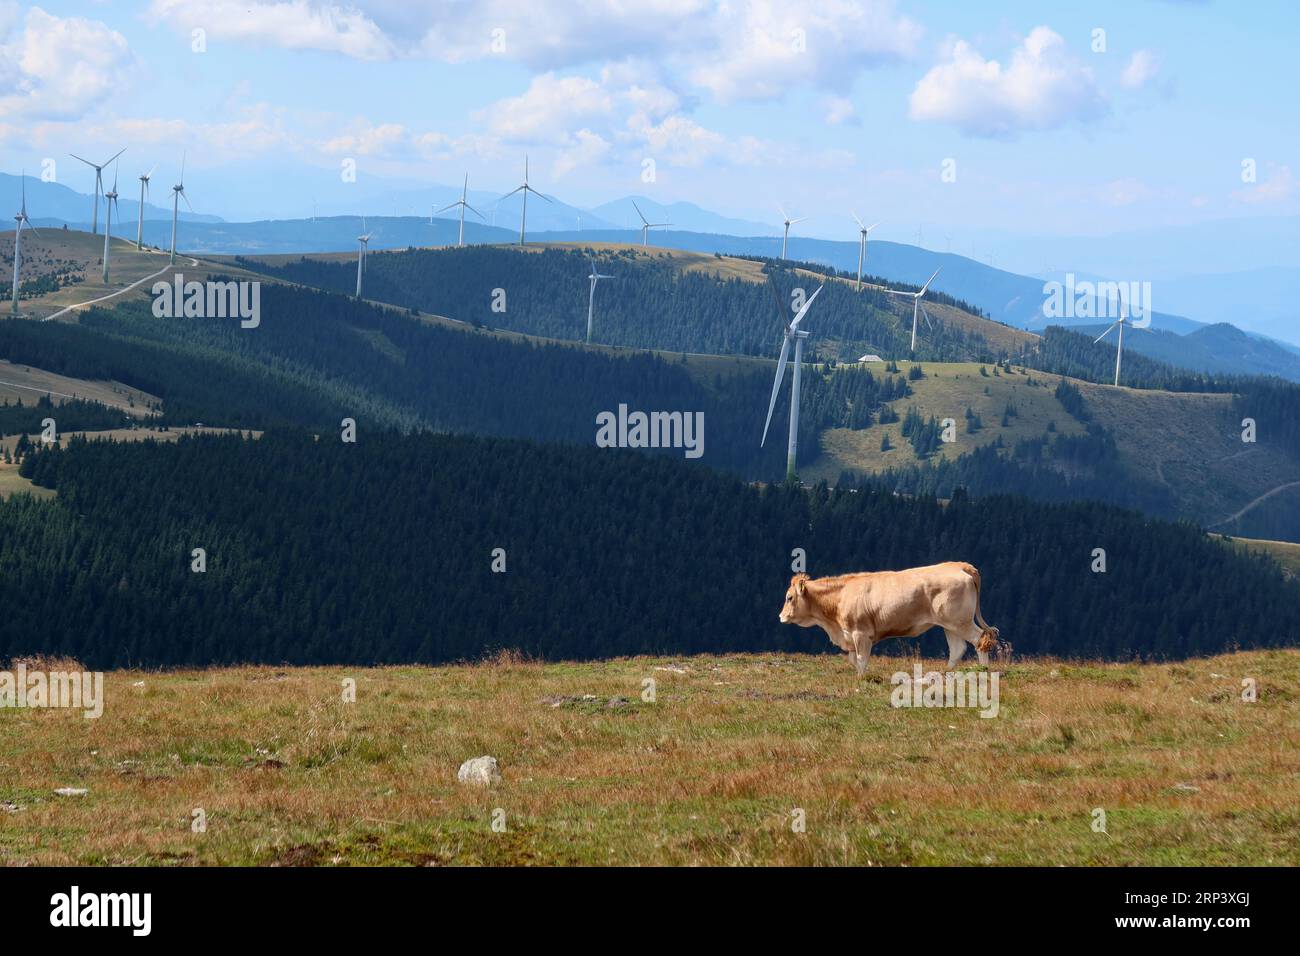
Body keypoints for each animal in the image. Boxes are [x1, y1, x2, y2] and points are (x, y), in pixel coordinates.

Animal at [774, 564, 998, 676]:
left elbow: (861, 659)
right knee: (957, 648)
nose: (781, 616)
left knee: (980, 639)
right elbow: (853, 659)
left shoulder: (860, 633)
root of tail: (960, 566)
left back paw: (983, 671)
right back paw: (945, 674)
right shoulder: (851, 636)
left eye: (789, 597)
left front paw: (861, 679)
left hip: (960, 621)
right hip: (949, 624)